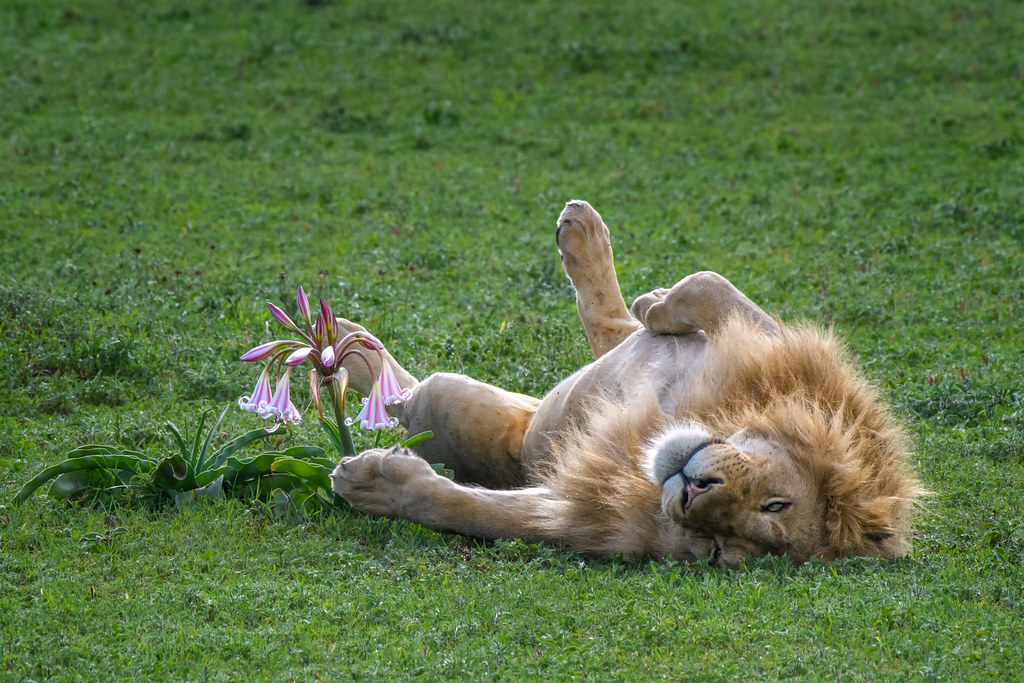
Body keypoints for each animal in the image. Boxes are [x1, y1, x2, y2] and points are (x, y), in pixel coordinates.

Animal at [331, 200, 925, 569]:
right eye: (775, 504)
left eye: (717, 549)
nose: (692, 493)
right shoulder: (775, 348)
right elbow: (707, 285)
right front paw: (657, 301)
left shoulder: (580, 510)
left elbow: (468, 509)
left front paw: (375, 485)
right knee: (615, 329)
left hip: (452, 403)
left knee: (405, 395)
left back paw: (340, 353)